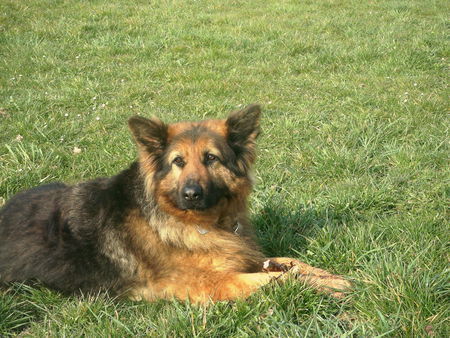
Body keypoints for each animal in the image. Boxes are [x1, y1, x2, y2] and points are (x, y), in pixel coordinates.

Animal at [0, 104, 350, 302]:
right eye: (178, 162)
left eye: (211, 158)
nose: (191, 194)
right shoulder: (214, 283)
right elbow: (286, 278)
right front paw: (327, 288)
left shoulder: (241, 258)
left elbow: (291, 263)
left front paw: (337, 279)